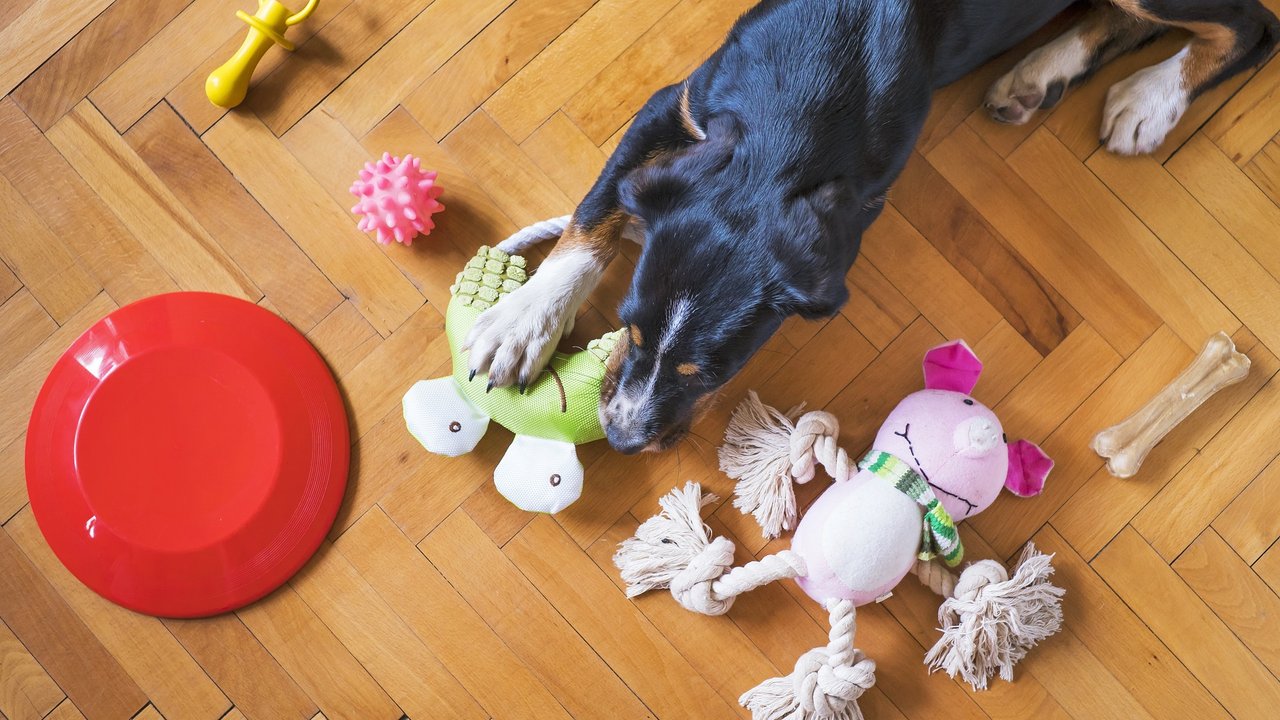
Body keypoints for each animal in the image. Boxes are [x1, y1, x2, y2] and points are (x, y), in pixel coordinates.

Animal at [463, 0, 1280, 450]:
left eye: (713, 374)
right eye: (628, 330)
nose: (624, 438)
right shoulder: (676, 104)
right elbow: (596, 209)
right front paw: (523, 322)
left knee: (1253, 27)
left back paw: (1150, 100)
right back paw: (1038, 73)